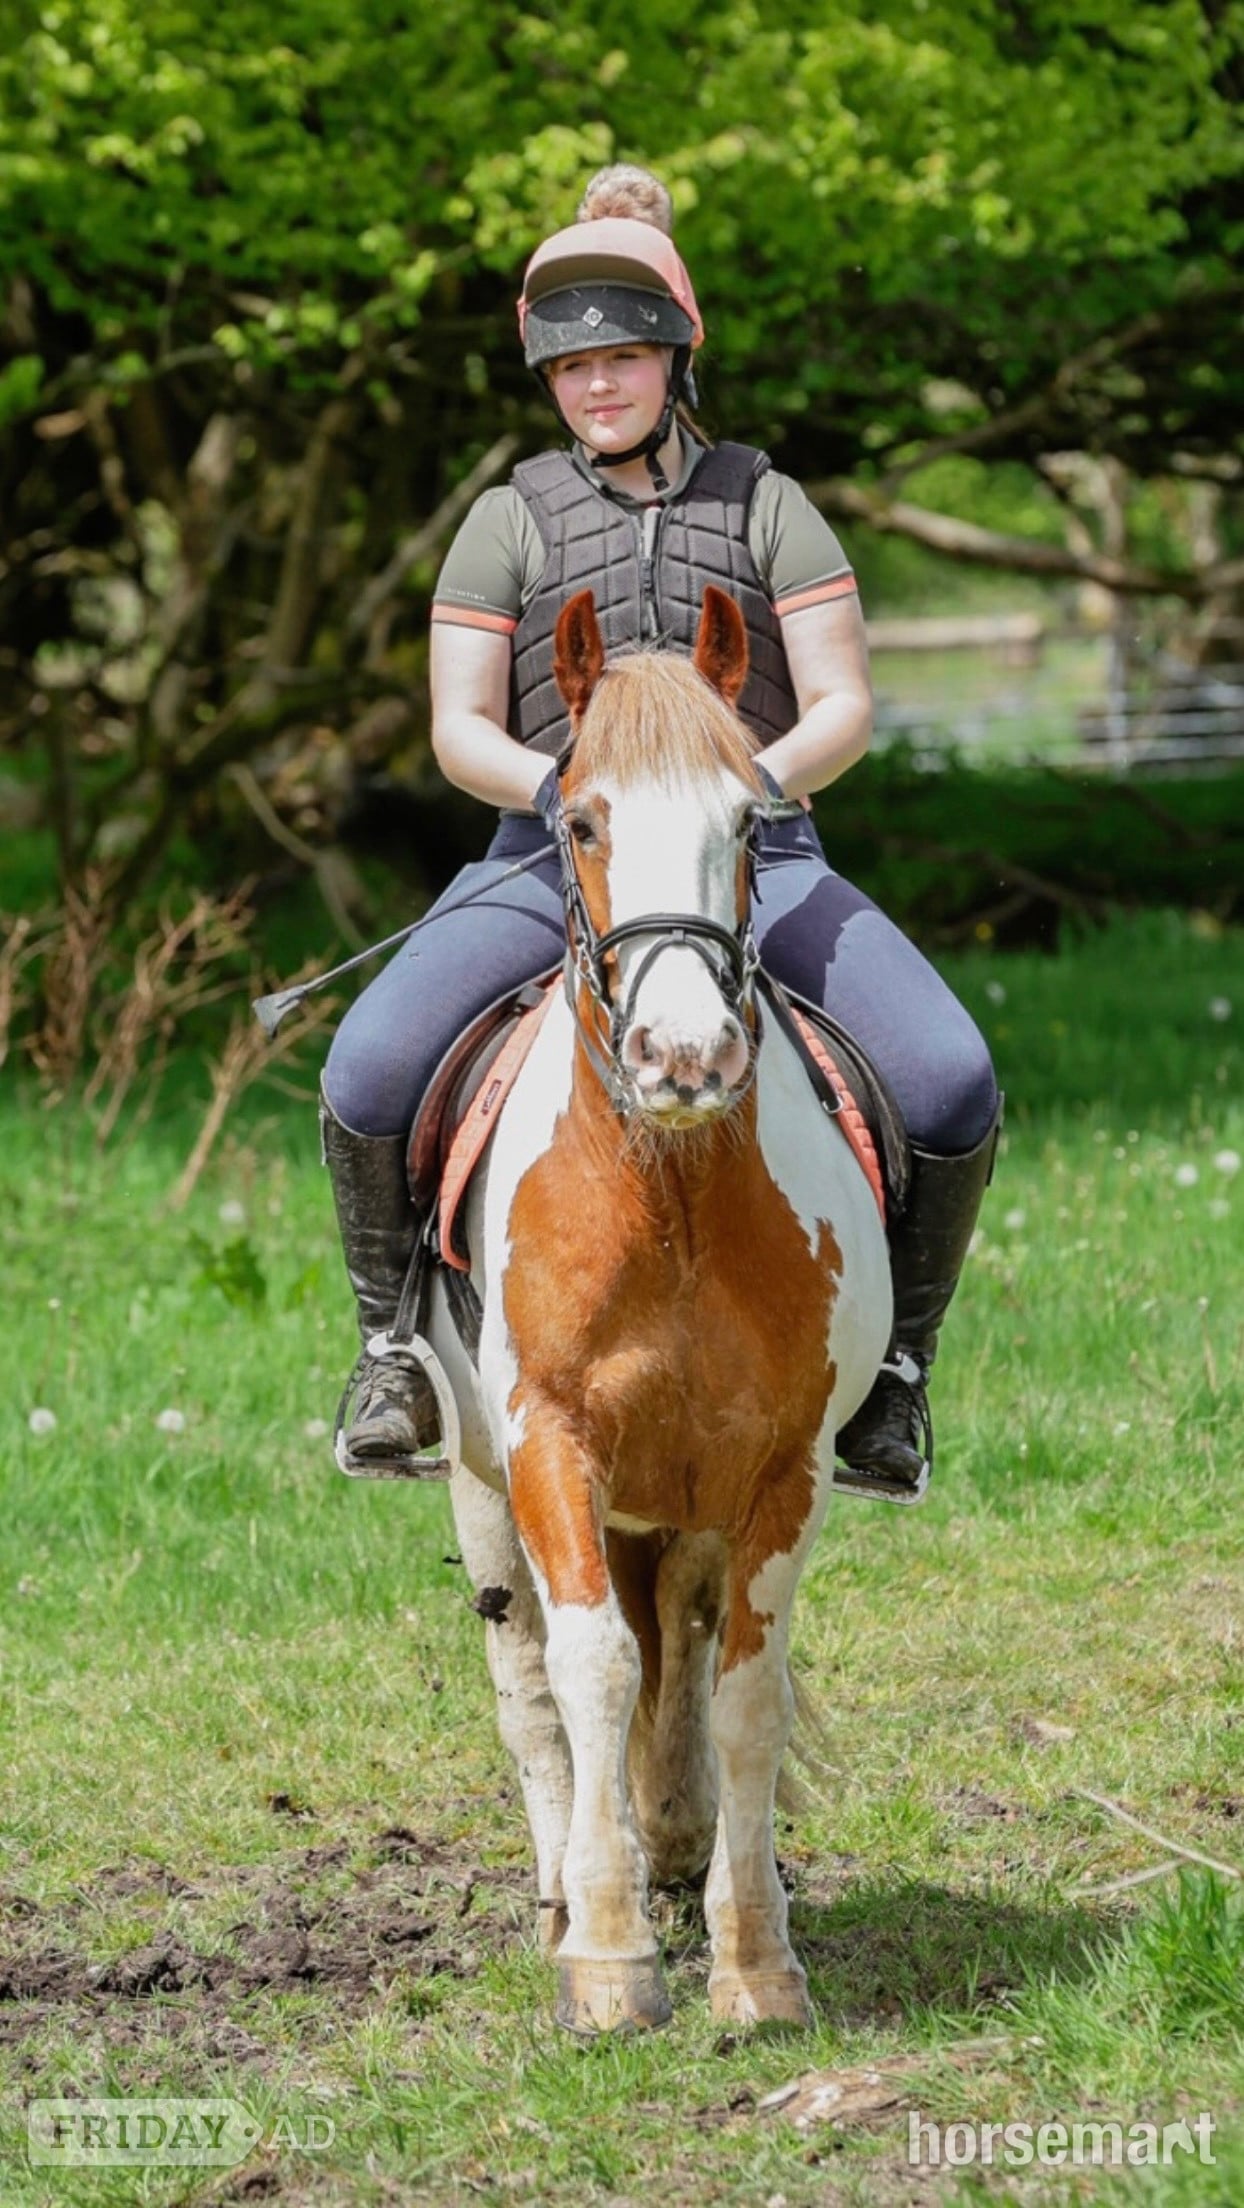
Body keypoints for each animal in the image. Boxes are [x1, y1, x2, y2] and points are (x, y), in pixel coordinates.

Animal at [427, 584, 892, 2033]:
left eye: (747, 822)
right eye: (581, 821)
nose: (683, 1057)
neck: (670, 1196)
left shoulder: (780, 1472)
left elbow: (742, 1691)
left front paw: (755, 1961)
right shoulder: (549, 1445)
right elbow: (588, 1672)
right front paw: (610, 1959)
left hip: (680, 1498)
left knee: (676, 1640)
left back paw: (676, 1842)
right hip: (480, 1488)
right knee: (531, 1686)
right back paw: (568, 1892)